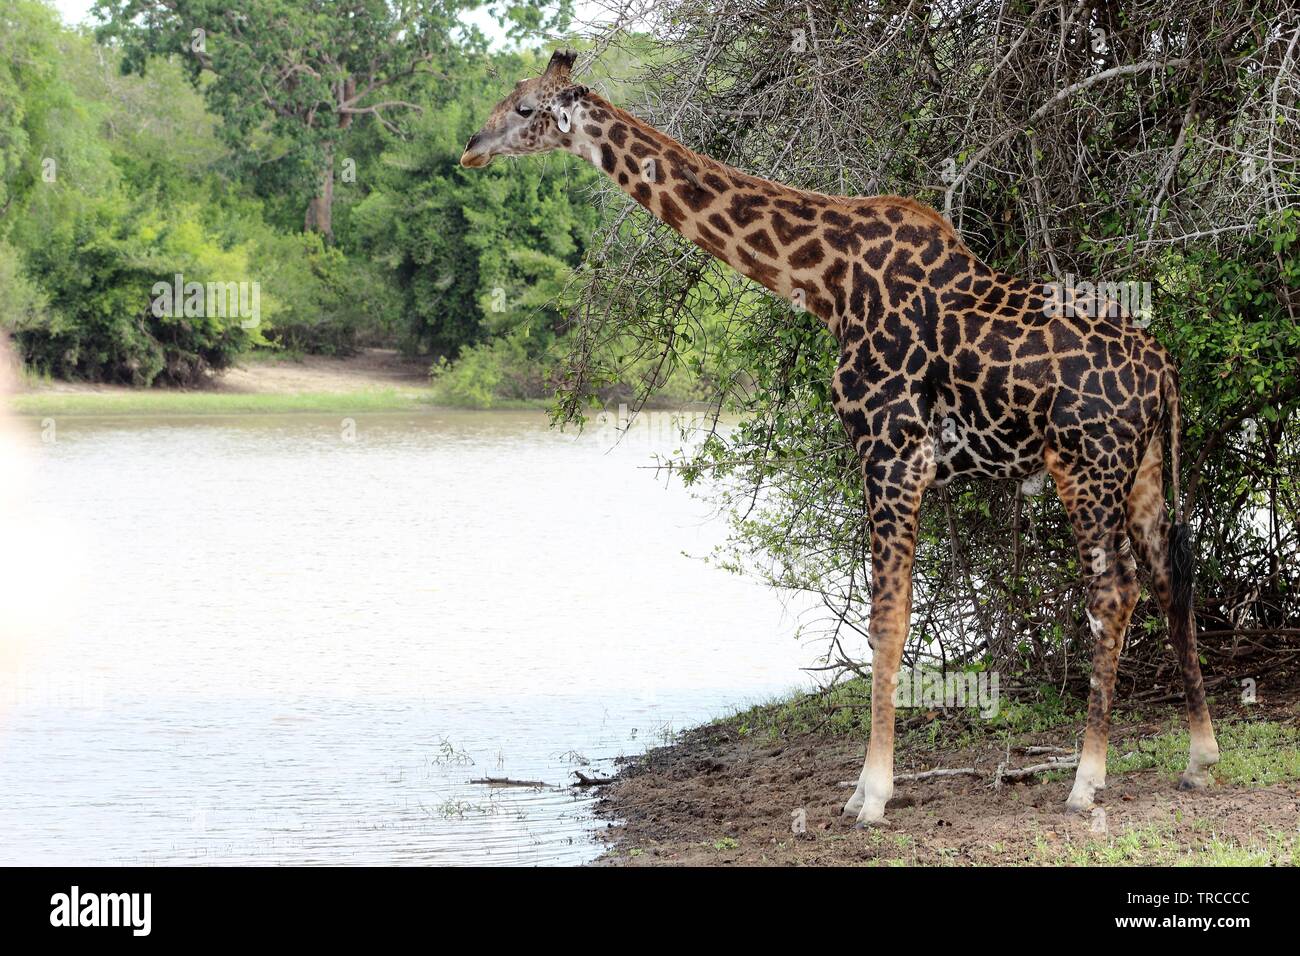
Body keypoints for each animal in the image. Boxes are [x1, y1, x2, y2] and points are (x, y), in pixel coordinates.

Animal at [460, 52, 1216, 827]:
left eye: (525, 108)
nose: (471, 147)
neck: (826, 282)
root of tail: (1164, 372)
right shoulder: (898, 458)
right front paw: (869, 786)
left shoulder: (893, 448)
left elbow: (888, 616)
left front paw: (871, 792)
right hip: (1143, 470)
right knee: (1172, 578)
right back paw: (1199, 759)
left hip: (1086, 467)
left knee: (1114, 591)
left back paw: (1087, 779)